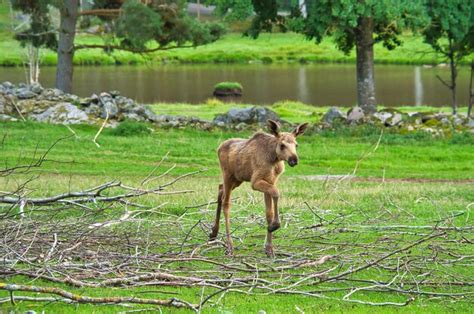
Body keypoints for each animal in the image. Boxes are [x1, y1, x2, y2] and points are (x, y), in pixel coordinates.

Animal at [209, 119, 310, 256]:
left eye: (296, 145)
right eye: (282, 145)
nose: (294, 160)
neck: (274, 159)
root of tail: (219, 147)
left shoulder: (270, 181)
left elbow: (269, 212)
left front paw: (269, 248)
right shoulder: (255, 182)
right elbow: (276, 193)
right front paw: (274, 226)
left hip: (237, 179)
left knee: (220, 189)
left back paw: (213, 233)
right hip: (228, 176)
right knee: (226, 203)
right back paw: (229, 245)